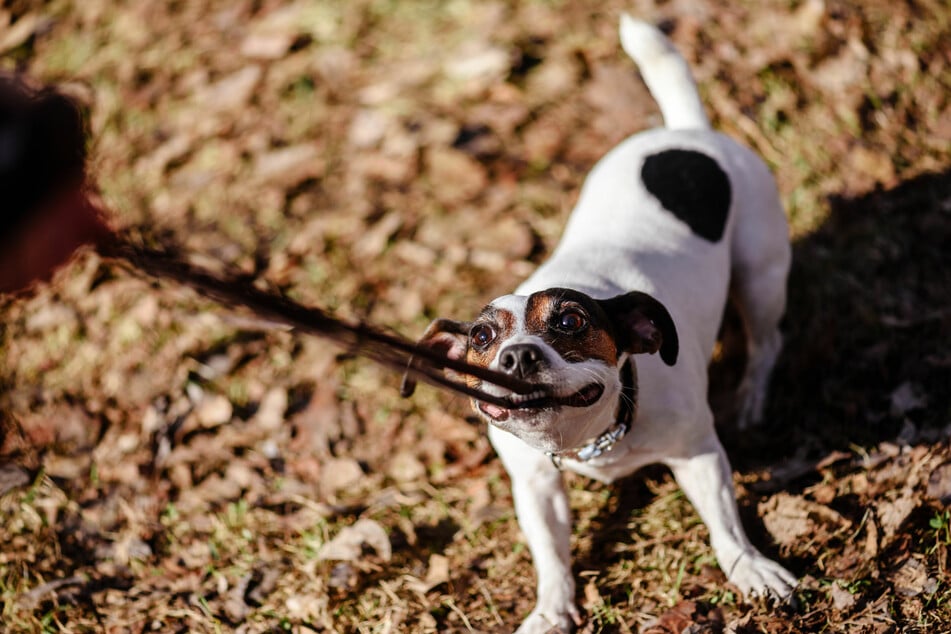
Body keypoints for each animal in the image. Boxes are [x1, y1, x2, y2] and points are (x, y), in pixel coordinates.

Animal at [410, 16, 796, 632]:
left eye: (570, 321)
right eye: (482, 337)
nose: (518, 355)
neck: (592, 439)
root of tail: (688, 129)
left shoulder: (699, 456)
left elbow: (724, 521)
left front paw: (750, 566)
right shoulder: (536, 485)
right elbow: (550, 553)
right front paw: (551, 608)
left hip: (761, 276)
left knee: (766, 342)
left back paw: (752, 396)